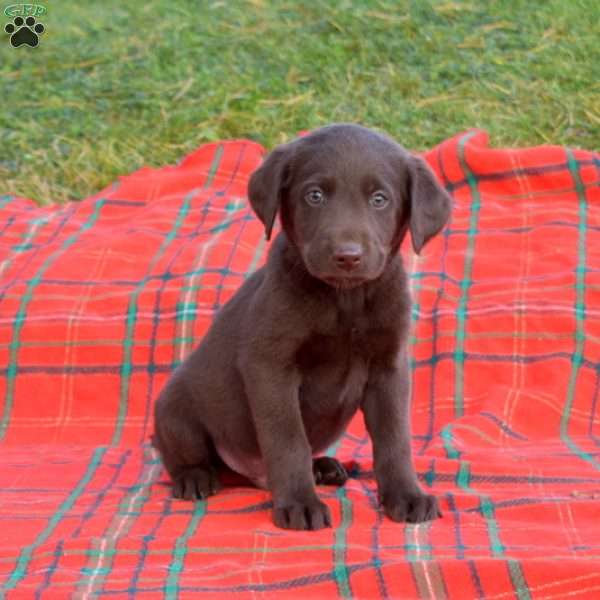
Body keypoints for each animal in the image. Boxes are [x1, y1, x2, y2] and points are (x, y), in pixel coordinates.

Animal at [152, 123, 452, 528]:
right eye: (315, 195)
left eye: (380, 199)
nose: (347, 256)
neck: (345, 299)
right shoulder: (270, 367)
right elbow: (288, 439)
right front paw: (299, 503)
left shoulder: (389, 367)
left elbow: (395, 440)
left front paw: (406, 495)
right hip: (174, 408)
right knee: (182, 455)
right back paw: (195, 477)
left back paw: (324, 467)